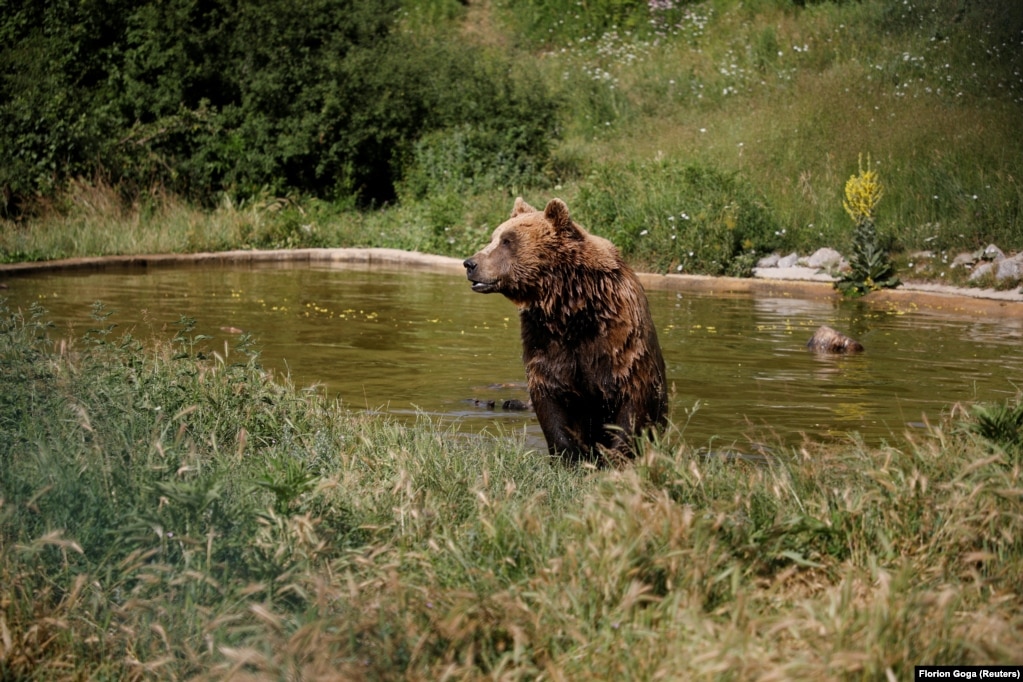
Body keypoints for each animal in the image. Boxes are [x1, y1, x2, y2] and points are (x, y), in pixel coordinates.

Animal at [466, 197, 671, 464]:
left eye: (507, 240)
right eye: (494, 237)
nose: (470, 263)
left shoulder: (620, 341)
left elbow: (632, 401)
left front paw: (617, 455)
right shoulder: (545, 339)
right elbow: (551, 397)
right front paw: (570, 456)